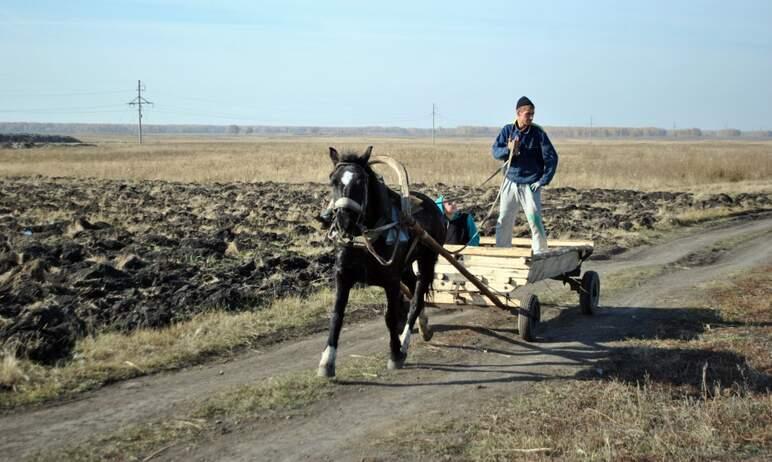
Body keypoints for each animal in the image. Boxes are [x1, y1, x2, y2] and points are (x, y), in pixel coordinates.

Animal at [318, 146, 446, 378]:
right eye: (333, 179)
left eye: (361, 181)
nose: (343, 221)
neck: (366, 238)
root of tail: (433, 206)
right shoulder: (343, 275)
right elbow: (336, 316)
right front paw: (327, 361)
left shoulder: (391, 280)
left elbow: (390, 316)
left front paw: (395, 354)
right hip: (406, 266)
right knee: (413, 287)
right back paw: (424, 327)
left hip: (427, 259)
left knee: (417, 297)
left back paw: (405, 342)